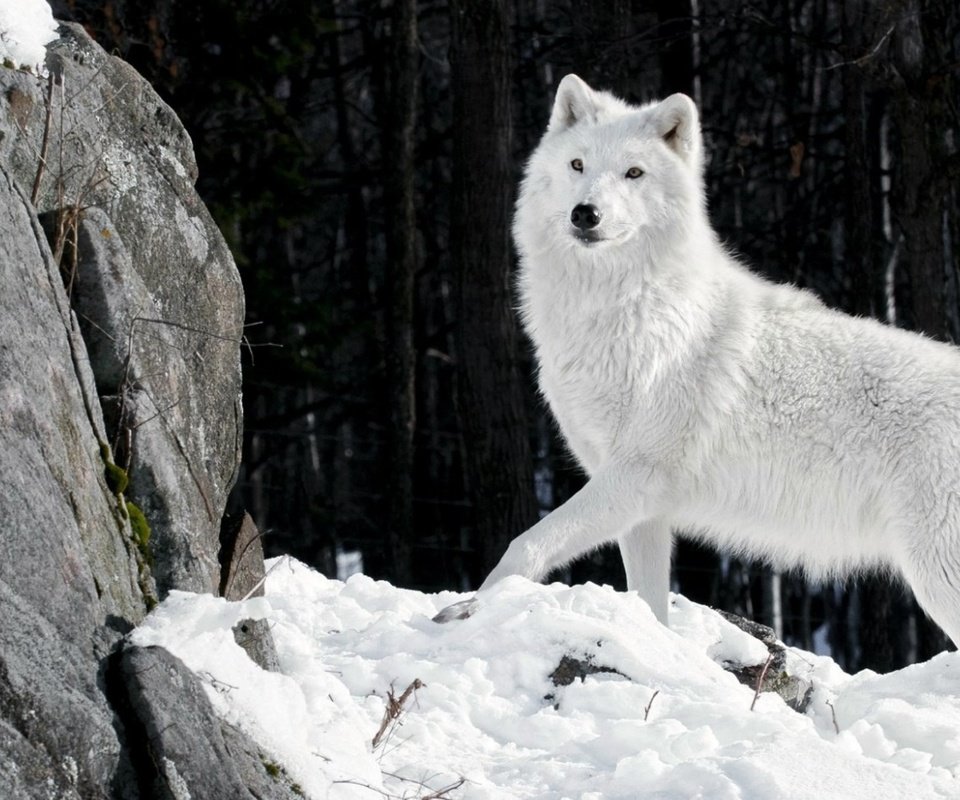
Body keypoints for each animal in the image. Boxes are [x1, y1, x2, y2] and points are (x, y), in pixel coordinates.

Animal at [436, 69, 960, 644]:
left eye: (634, 173)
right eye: (577, 165)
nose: (585, 214)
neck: (623, 311)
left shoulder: (634, 475)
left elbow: (523, 544)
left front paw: (468, 609)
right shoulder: (640, 505)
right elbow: (648, 605)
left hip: (937, 575)